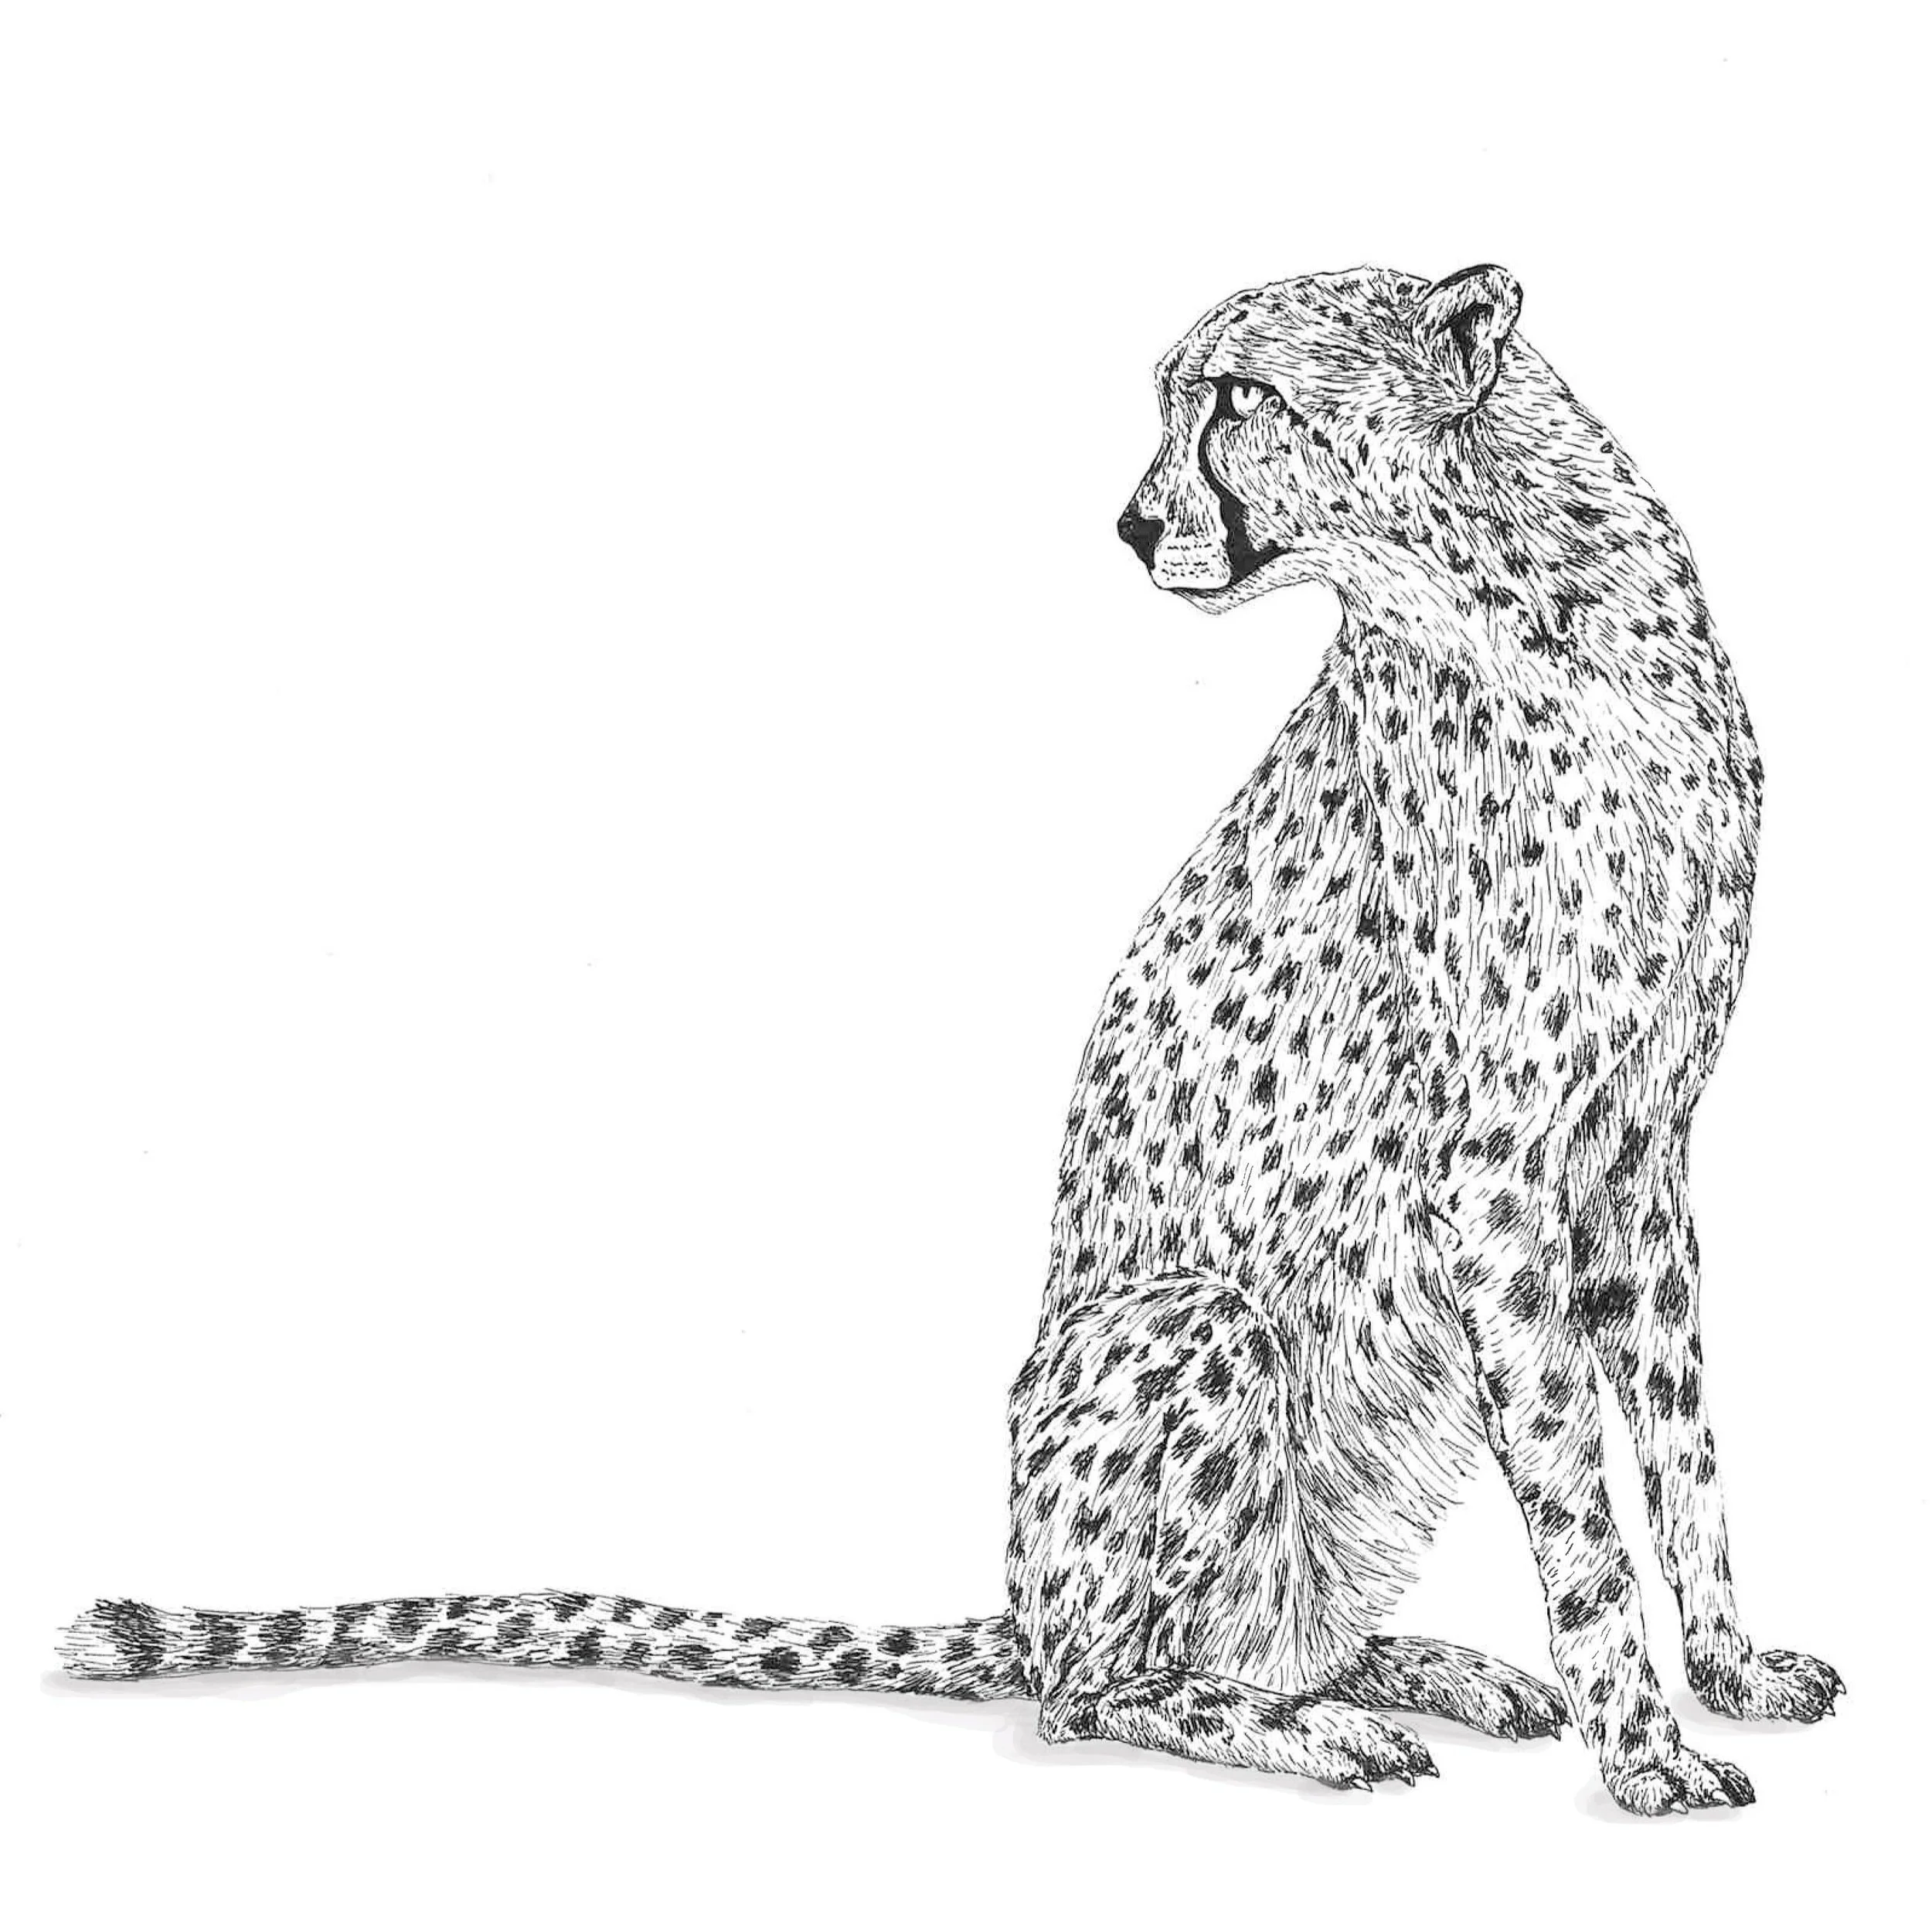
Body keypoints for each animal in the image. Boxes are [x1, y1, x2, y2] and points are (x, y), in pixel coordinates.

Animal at [61, 263, 1841, 1815]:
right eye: (1172, 400)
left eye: (1239, 399)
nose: (1130, 524)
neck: (1533, 605)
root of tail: (1021, 1595)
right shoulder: (1496, 1177)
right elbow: (1582, 1505)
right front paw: (1645, 1752)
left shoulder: (1637, 1153)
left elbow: (1679, 1447)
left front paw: (1728, 1674)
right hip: (1198, 1323)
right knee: (1098, 1683)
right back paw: (1315, 1728)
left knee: (1243, 1632)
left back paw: (1420, 1672)